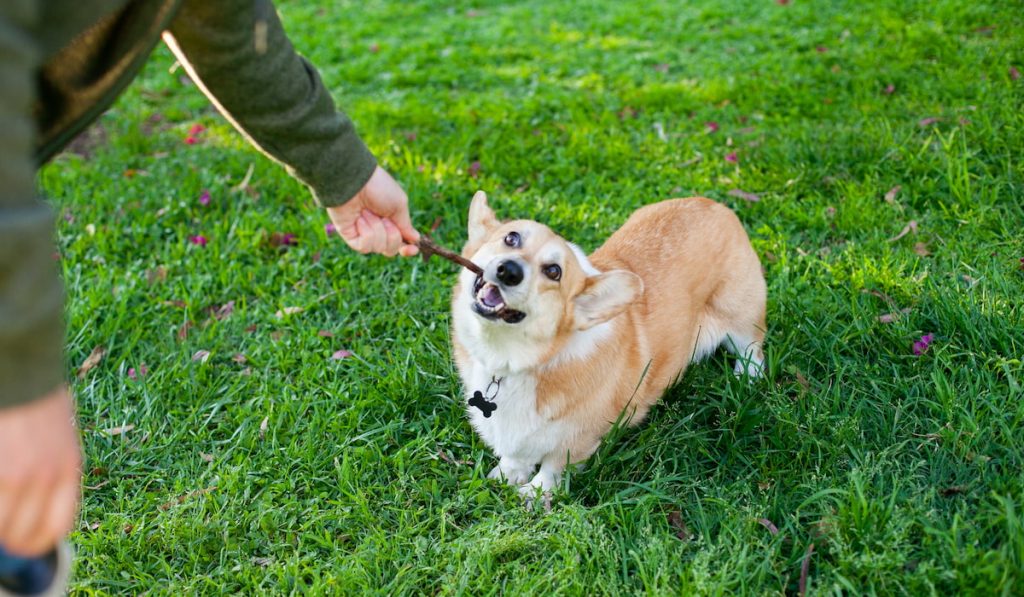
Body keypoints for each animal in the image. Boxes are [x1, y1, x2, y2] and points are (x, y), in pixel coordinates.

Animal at [452, 191, 765, 495]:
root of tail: (714, 205)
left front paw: (535, 495)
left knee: (753, 350)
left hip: (740, 315)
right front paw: (507, 475)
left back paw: (746, 376)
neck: (512, 359)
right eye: (511, 238)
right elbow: (517, 455)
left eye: (554, 271)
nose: (509, 270)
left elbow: (554, 468)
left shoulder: (578, 438)